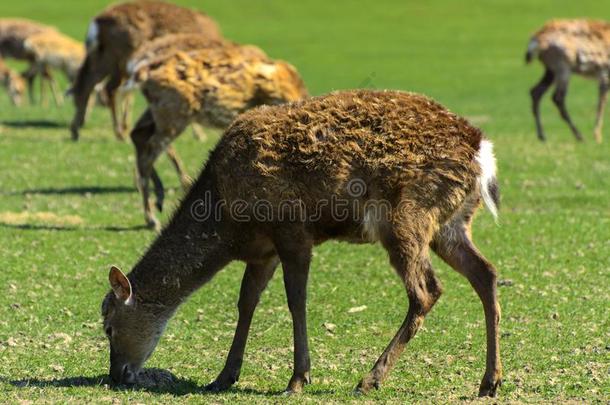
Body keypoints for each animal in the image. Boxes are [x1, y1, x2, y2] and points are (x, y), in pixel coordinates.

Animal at [70, 0, 221, 142]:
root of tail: (96, 22)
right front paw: (200, 134)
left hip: (106, 56)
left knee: (88, 83)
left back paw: (77, 130)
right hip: (123, 56)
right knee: (109, 88)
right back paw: (118, 133)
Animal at [102, 90, 502, 396]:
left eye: (107, 325)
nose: (117, 375)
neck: (227, 221)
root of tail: (483, 153)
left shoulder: (292, 229)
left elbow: (296, 300)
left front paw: (297, 379)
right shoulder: (262, 251)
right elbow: (246, 302)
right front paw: (223, 377)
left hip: (406, 216)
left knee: (426, 290)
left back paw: (369, 379)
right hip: (452, 224)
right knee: (485, 273)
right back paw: (489, 382)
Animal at [124, 43, 304, 230]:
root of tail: (142, 76)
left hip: (160, 112)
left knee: (138, 135)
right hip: (174, 113)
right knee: (149, 151)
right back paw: (152, 217)